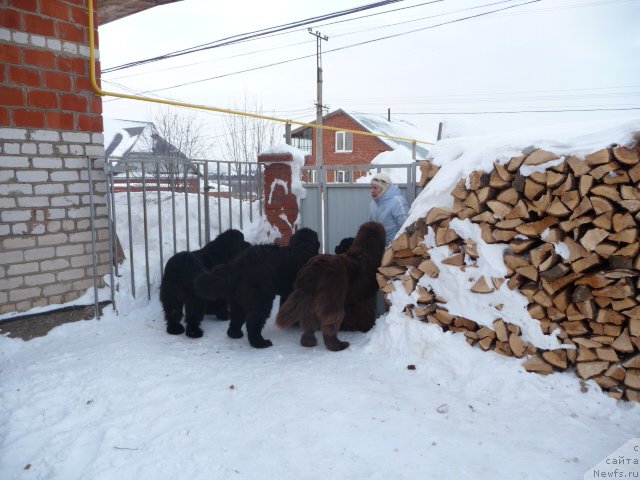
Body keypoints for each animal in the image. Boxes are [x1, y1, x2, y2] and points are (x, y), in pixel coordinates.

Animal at [276, 220, 384, 348]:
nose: (336, 247)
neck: (365, 249)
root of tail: (313, 269)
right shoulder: (365, 297)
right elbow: (366, 313)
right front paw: (367, 327)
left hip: (309, 297)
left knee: (309, 321)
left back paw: (309, 341)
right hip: (332, 296)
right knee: (331, 320)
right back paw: (337, 345)